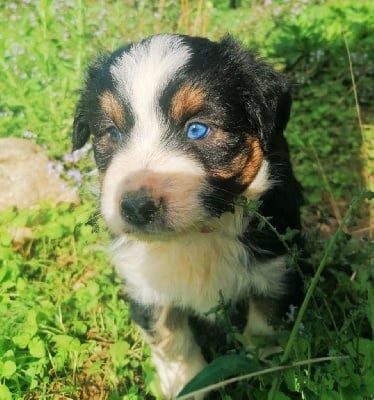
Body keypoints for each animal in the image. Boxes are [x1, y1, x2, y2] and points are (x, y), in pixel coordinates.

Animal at [72, 35, 304, 400]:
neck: (195, 235)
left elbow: (265, 324)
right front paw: (184, 383)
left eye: (196, 129)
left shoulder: (277, 266)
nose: (136, 207)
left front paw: (261, 370)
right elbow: (168, 337)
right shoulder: (142, 283)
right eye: (113, 133)